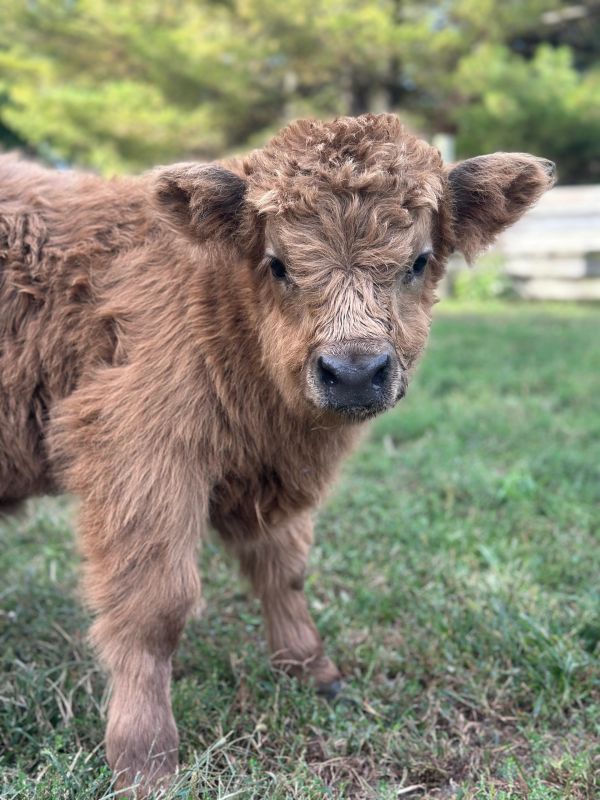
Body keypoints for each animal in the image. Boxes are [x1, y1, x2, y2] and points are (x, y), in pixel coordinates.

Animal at [0, 113, 555, 793]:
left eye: (419, 261)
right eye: (278, 264)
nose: (354, 373)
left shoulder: (269, 475)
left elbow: (283, 569)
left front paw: (312, 670)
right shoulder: (139, 454)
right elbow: (155, 606)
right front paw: (144, 758)